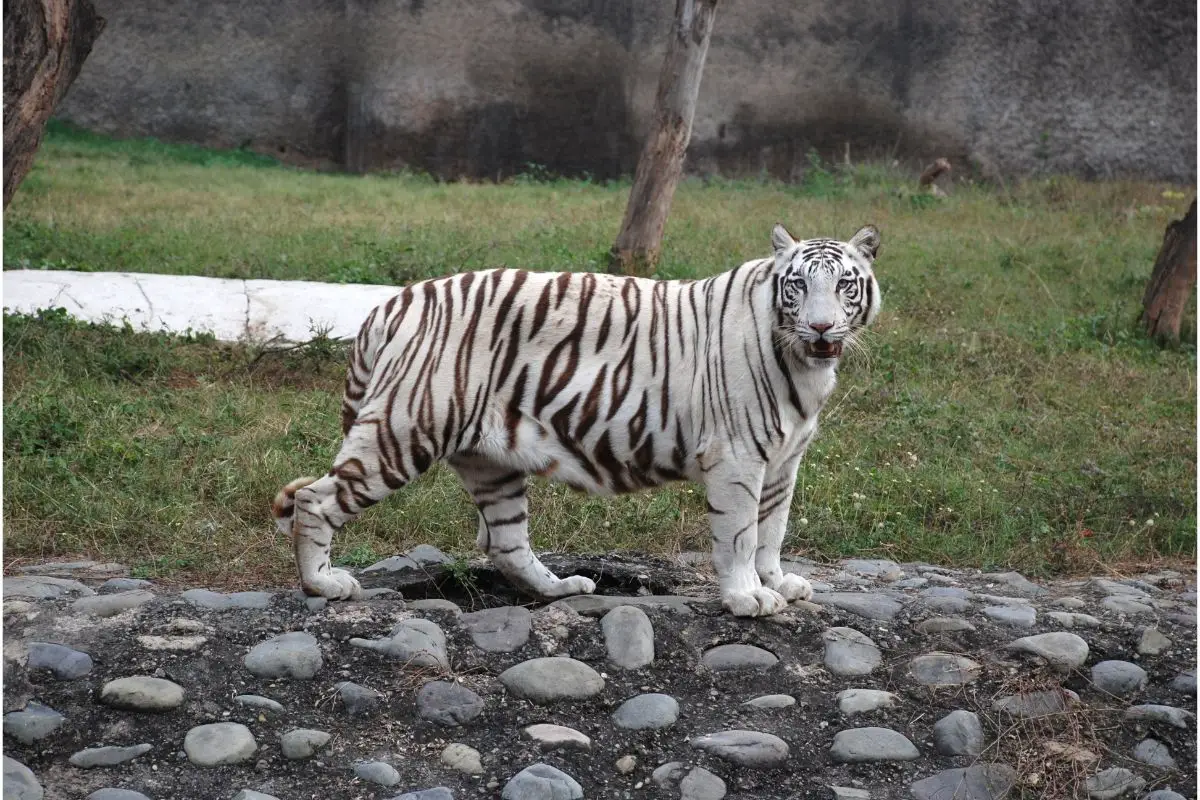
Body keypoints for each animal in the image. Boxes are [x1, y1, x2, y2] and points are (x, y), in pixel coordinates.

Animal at [274, 225, 883, 618]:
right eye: (798, 285)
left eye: (844, 285)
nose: (822, 328)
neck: (806, 367)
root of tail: (394, 302)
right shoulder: (737, 456)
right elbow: (739, 533)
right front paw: (747, 597)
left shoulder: (784, 459)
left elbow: (772, 529)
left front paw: (779, 582)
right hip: (404, 431)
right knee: (314, 498)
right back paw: (323, 584)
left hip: (490, 460)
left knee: (506, 543)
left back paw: (561, 590)